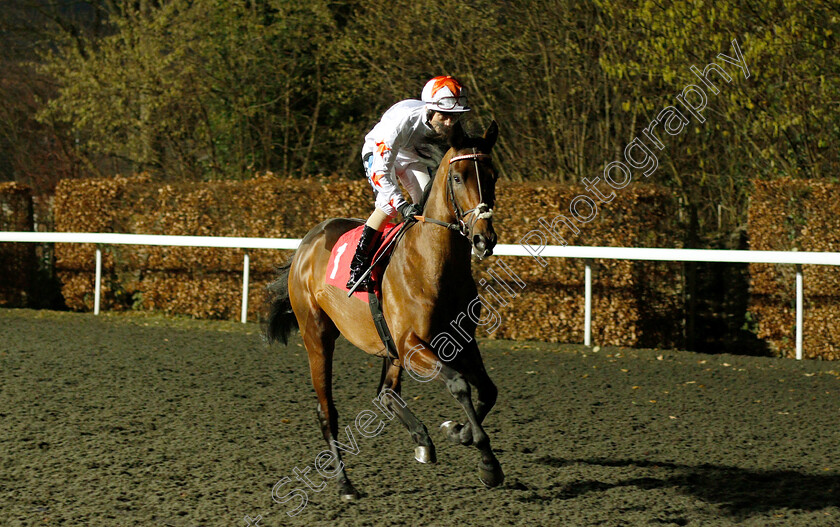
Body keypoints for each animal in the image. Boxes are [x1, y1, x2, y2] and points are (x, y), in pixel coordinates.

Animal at [270, 121, 502, 502]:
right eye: (458, 177)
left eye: (493, 175)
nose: (485, 239)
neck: (432, 264)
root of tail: (307, 242)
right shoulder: (412, 345)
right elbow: (459, 385)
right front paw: (488, 463)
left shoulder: (461, 341)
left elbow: (487, 390)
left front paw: (458, 431)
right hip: (317, 335)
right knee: (327, 410)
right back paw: (345, 483)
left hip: (387, 346)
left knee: (386, 392)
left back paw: (422, 440)